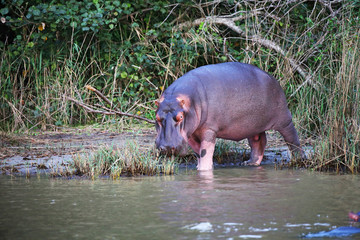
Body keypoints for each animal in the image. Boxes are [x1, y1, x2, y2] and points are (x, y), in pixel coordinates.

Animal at [155, 62, 304, 171]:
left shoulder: (209, 129)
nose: (166, 147)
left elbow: (205, 151)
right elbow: (198, 152)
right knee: (258, 142)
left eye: (180, 117)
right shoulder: (190, 133)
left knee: (292, 138)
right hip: (252, 126)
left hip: (284, 119)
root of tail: (273, 78)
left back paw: (299, 159)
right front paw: (199, 168)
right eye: (156, 117)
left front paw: (204, 170)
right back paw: (250, 163)